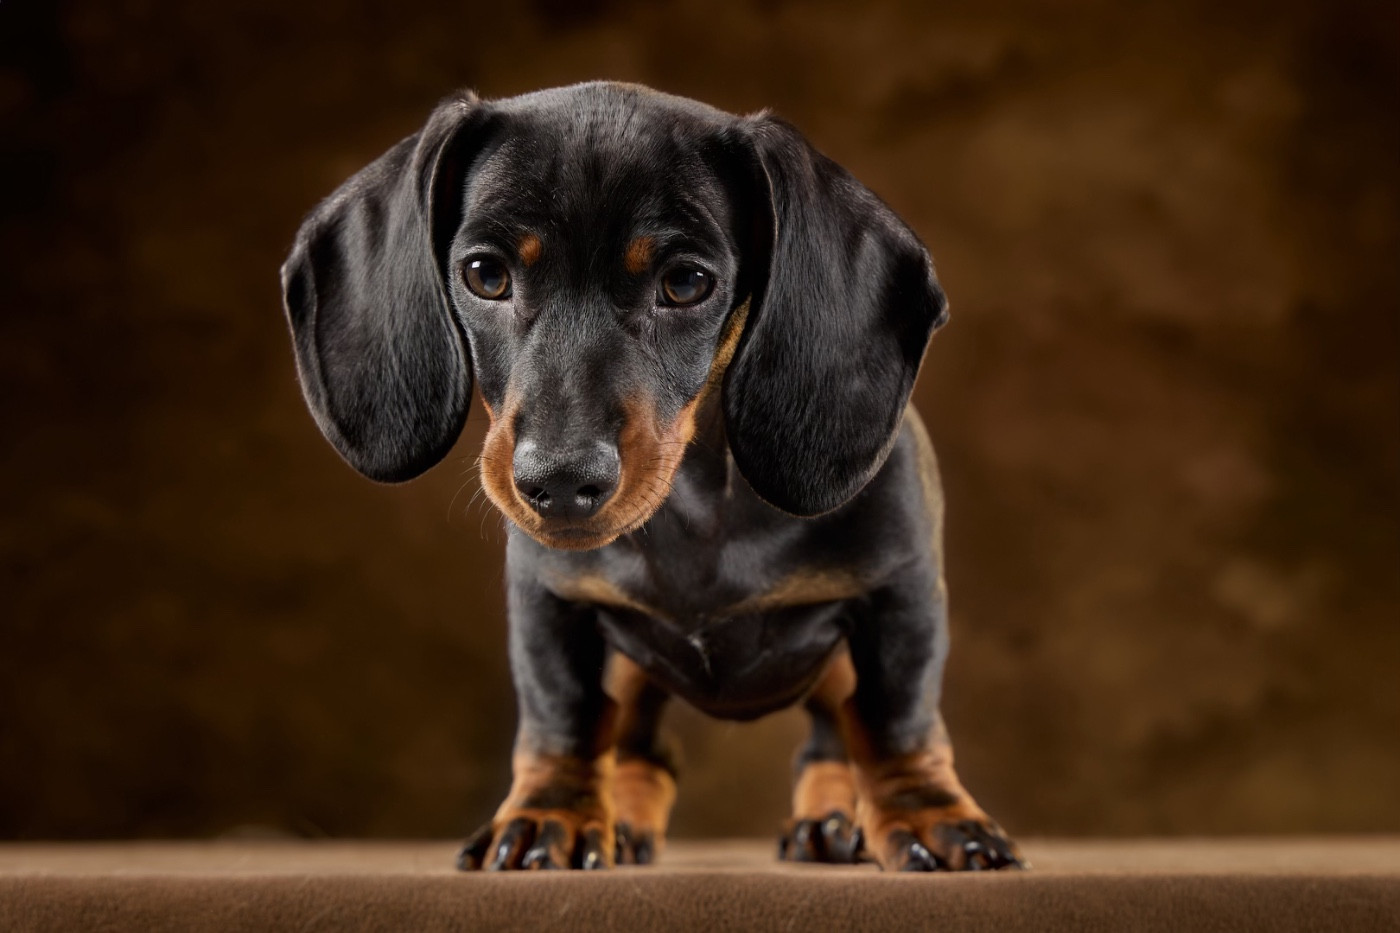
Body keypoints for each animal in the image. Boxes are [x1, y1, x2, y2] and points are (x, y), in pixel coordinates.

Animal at [281, 82, 1023, 872]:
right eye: (485, 275)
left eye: (686, 283)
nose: (559, 482)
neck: (698, 504)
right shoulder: (549, 600)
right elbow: (563, 714)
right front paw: (550, 815)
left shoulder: (902, 591)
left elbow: (893, 718)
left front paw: (929, 815)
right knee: (642, 746)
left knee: (829, 735)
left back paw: (827, 817)